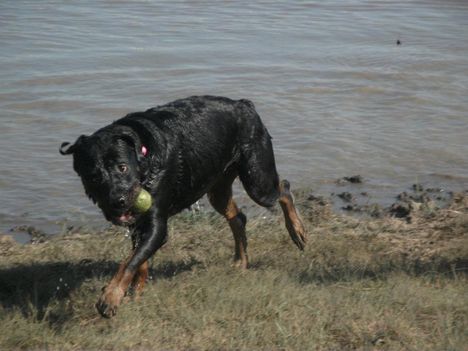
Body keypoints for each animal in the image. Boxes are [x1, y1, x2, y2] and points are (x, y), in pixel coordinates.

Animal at [59, 95, 308, 318]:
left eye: (122, 167)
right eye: (93, 176)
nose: (117, 200)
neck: (144, 162)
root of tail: (244, 104)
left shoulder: (157, 225)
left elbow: (130, 262)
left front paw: (110, 297)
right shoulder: (138, 224)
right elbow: (139, 261)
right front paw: (134, 293)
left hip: (256, 178)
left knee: (283, 189)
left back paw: (297, 230)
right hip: (217, 185)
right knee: (237, 217)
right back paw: (241, 261)